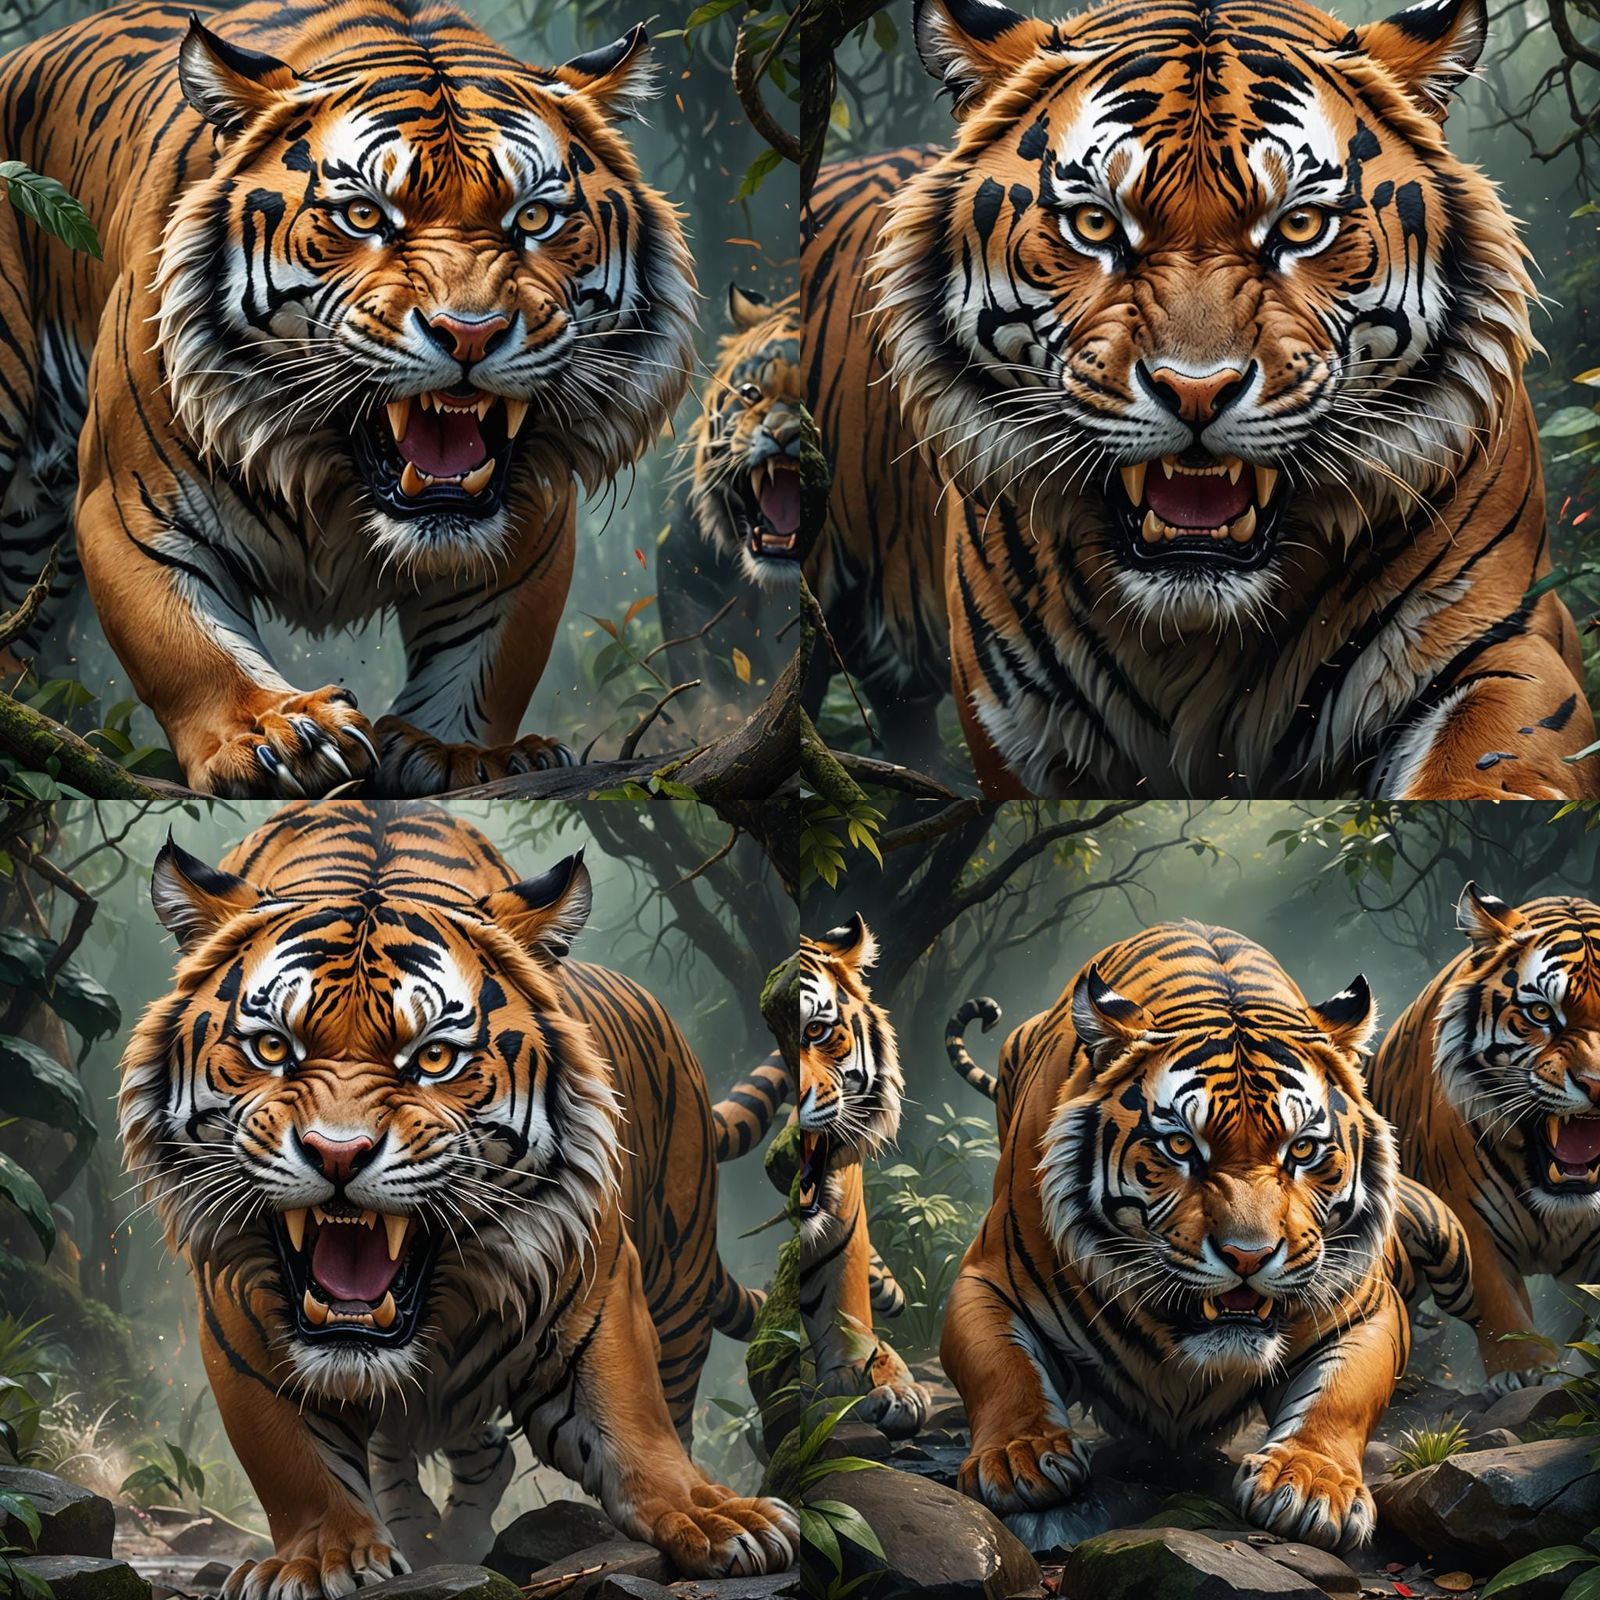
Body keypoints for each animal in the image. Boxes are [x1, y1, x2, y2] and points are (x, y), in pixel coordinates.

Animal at [0, 1, 694, 797]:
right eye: (364, 217)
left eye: (533, 219)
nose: (471, 332)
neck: (339, 481)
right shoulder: (128, 508)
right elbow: (189, 645)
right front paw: (276, 733)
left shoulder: (528, 530)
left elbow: (483, 658)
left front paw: (458, 751)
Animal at [118, 801, 795, 1597]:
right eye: (273, 1049)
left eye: (434, 1059)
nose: (338, 1152)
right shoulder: (238, 1311)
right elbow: (292, 1457)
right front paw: (321, 1557)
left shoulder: (597, 1284)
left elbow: (636, 1419)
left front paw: (717, 1517)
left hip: (681, 1294)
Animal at [939, 921, 1446, 1551]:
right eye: (1181, 1145)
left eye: (1302, 1149)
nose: (1248, 1257)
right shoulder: (986, 1279)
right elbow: (1000, 1367)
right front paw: (1020, 1457)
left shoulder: (1367, 1308)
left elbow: (1342, 1395)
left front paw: (1309, 1483)